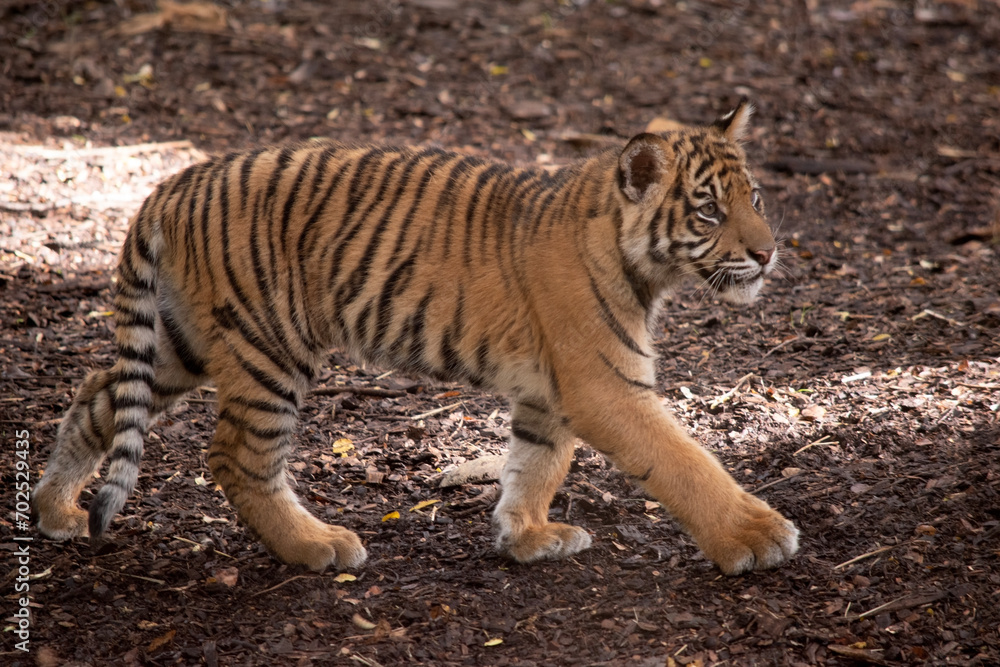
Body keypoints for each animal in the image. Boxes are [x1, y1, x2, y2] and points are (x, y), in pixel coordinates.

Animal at [33, 98, 799, 576]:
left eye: (757, 198)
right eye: (708, 210)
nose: (767, 254)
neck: (642, 264)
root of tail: (170, 186)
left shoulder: (550, 391)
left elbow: (537, 462)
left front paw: (525, 537)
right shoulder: (605, 385)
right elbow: (685, 463)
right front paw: (757, 538)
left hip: (180, 342)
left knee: (99, 393)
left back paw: (55, 510)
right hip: (269, 346)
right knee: (236, 457)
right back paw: (315, 546)